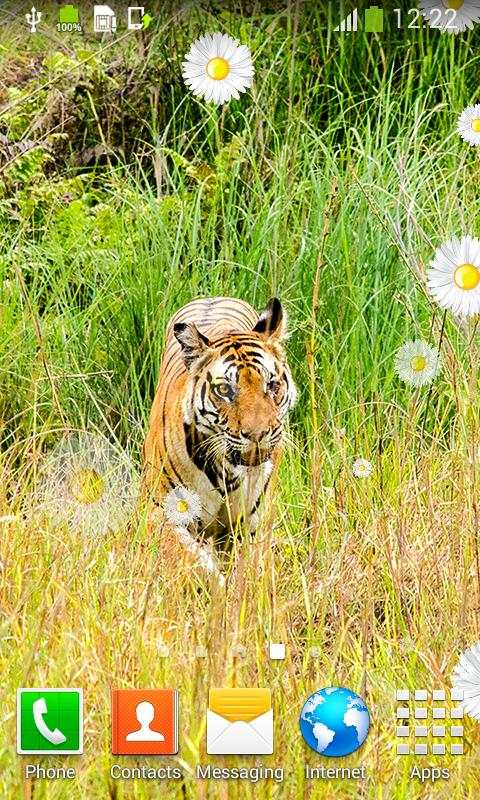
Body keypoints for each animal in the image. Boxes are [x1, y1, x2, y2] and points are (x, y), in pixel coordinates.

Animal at [143, 296, 297, 545]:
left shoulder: (254, 525)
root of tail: (213, 297)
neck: (226, 471)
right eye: (224, 390)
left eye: (272, 385)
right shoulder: (161, 513)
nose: (258, 434)